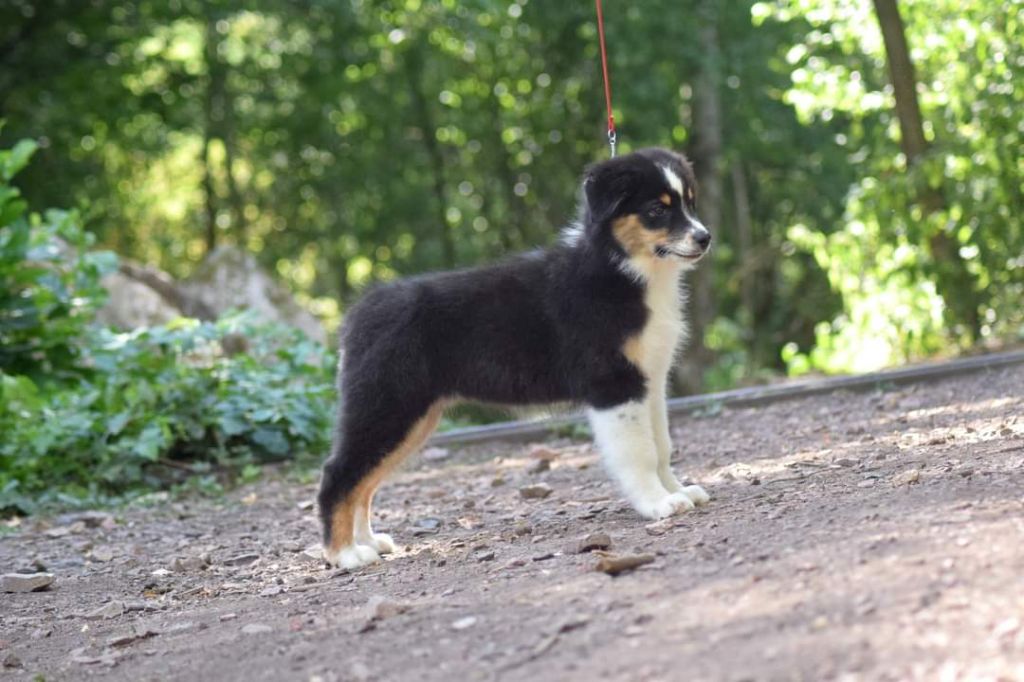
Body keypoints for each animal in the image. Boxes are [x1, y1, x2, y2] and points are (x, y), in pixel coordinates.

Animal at [317, 147, 712, 568]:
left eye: (689, 202)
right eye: (656, 209)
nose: (705, 238)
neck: (624, 269)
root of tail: (357, 314)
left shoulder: (650, 381)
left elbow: (662, 446)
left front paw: (678, 490)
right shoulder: (614, 383)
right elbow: (640, 451)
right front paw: (657, 503)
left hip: (412, 418)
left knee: (365, 481)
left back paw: (368, 542)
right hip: (388, 406)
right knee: (339, 474)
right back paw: (345, 554)